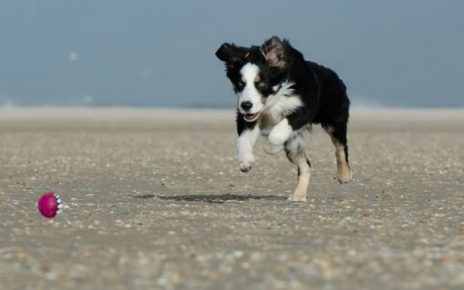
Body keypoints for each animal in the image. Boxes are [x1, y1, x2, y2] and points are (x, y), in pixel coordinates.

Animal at [216, 35, 350, 202]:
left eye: (262, 83)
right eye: (240, 83)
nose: (246, 104)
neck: (273, 98)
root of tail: (334, 75)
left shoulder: (304, 107)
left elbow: (279, 130)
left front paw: (271, 148)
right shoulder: (247, 116)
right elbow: (243, 138)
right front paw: (246, 161)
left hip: (335, 119)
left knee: (340, 147)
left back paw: (344, 175)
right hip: (294, 145)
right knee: (306, 166)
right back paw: (298, 196)